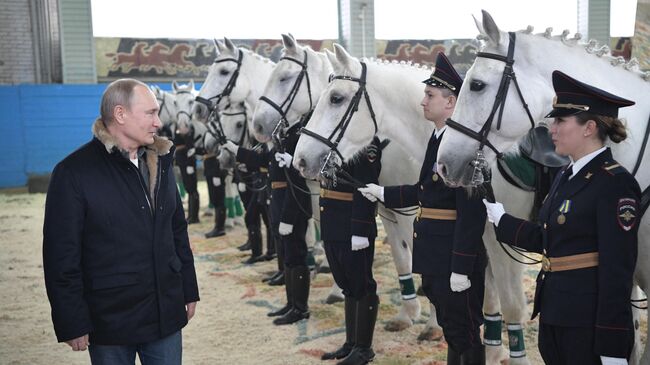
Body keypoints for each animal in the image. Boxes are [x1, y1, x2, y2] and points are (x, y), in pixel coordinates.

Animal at [278, 39, 446, 338]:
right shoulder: (391, 208)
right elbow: (402, 256)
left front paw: (434, 324)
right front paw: (408, 314)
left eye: (336, 98)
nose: (301, 160)